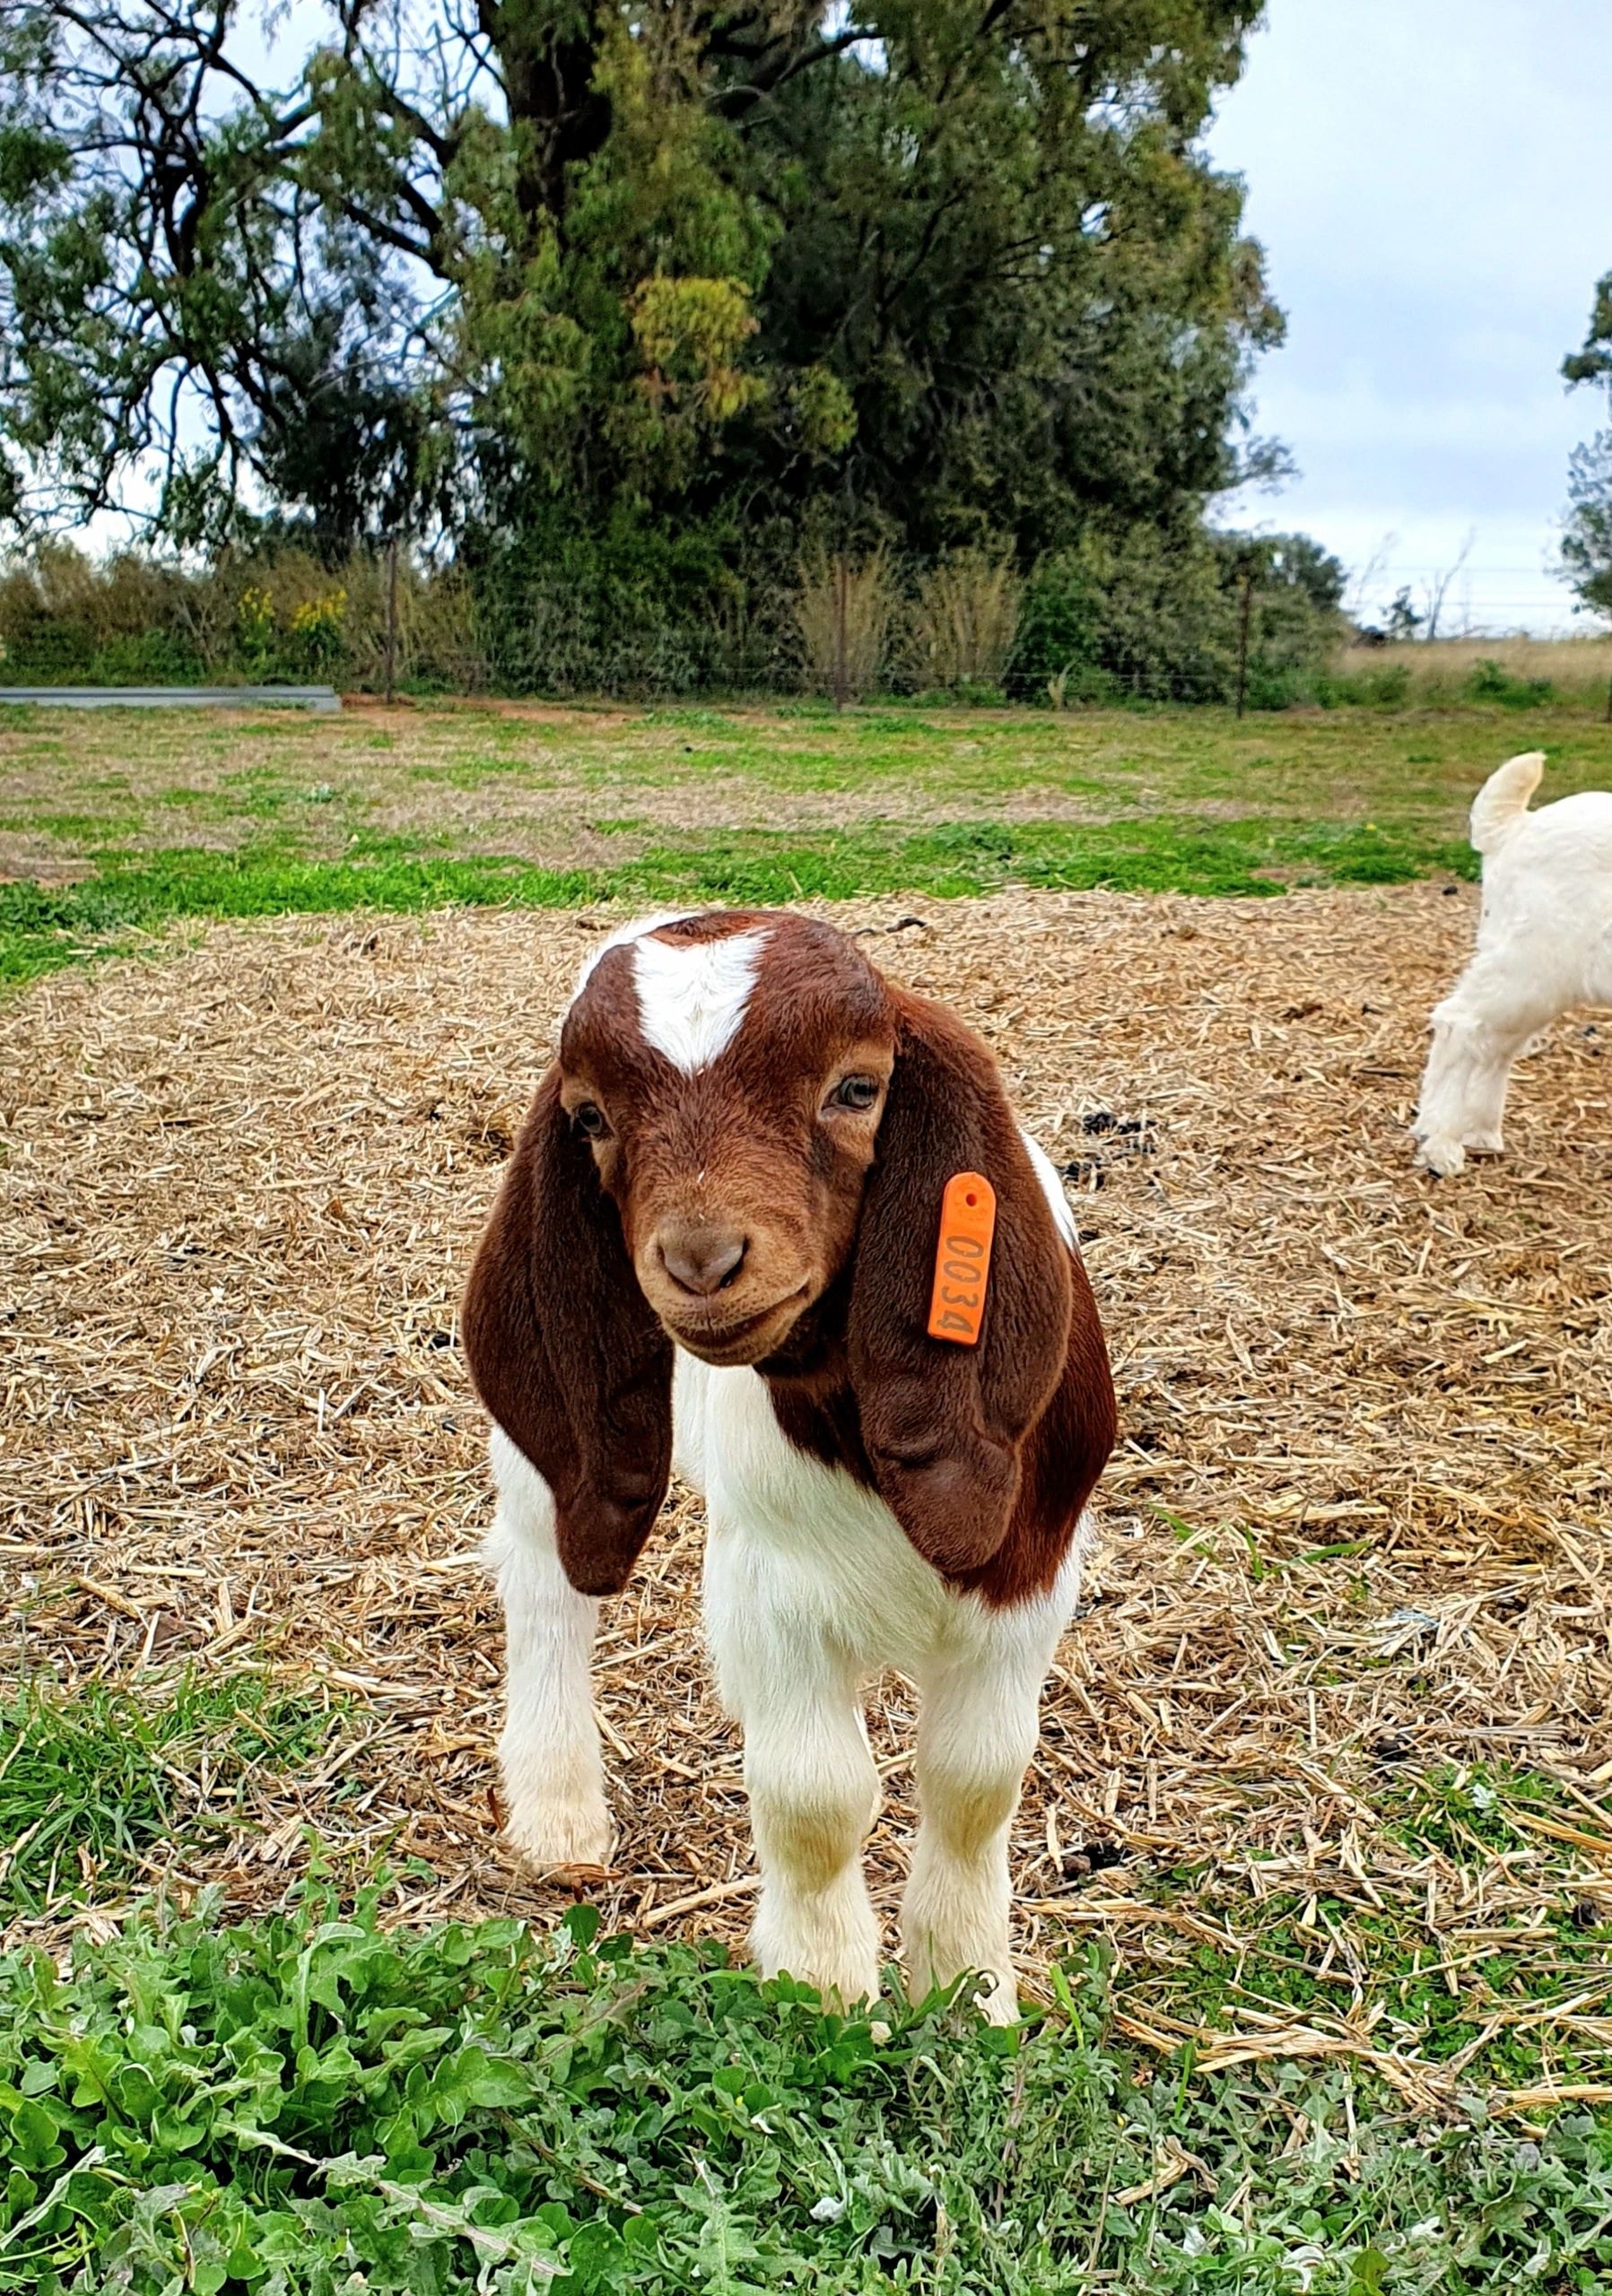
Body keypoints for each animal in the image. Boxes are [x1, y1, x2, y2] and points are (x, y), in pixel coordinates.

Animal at [462, 908, 1116, 2019]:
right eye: (590, 1117)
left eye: (856, 1087)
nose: (702, 1261)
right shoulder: (771, 1586)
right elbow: (816, 1792)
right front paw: (823, 1987)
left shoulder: (1031, 1567)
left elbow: (978, 1779)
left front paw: (968, 1985)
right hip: (553, 1429)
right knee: (548, 1578)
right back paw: (558, 1814)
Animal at [1413, 753, 1612, 1176]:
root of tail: (1517, 827)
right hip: (1533, 965)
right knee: (1462, 1025)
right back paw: (1440, 1142)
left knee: (1493, 1046)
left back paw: (1478, 1131)